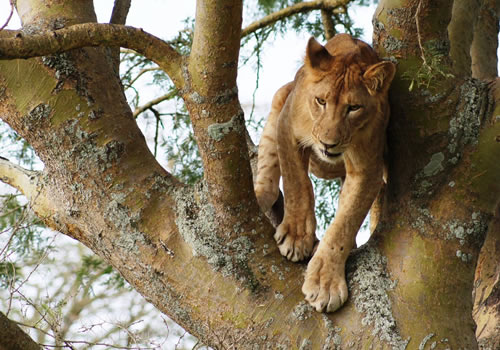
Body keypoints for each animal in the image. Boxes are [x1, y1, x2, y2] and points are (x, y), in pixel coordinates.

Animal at [254, 34, 394, 314]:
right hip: (282, 96)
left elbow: (344, 223)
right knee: (269, 167)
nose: (329, 144)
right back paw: (260, 194)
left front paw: (324, 284)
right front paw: (296, 237)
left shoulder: (367, 168)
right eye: (321, 101)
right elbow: (296, 184)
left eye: (354, 107)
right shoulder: (287, 124)